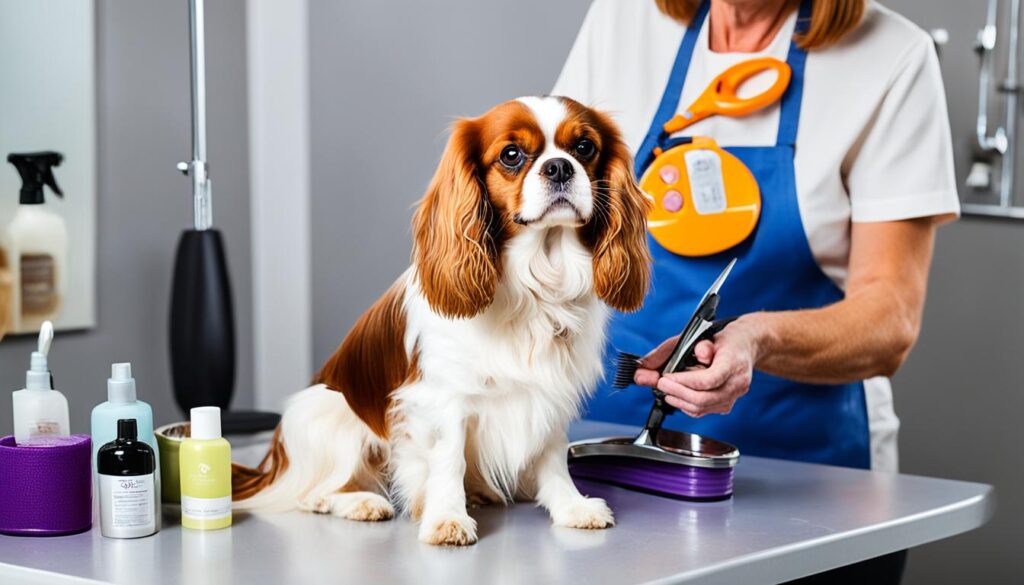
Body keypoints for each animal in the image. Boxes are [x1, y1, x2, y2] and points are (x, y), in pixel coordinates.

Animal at [232, 94, 647, 545]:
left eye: (585, 148)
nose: (559, 167)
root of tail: (274, 462)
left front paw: (570, 506)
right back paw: (361, 502)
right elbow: (448, 459)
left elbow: (553, 455)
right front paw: (446, 517)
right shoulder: (444, 397)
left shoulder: (552, 393)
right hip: (329, 411)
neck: (537, 281)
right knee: (313, 493)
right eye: (511, 155)